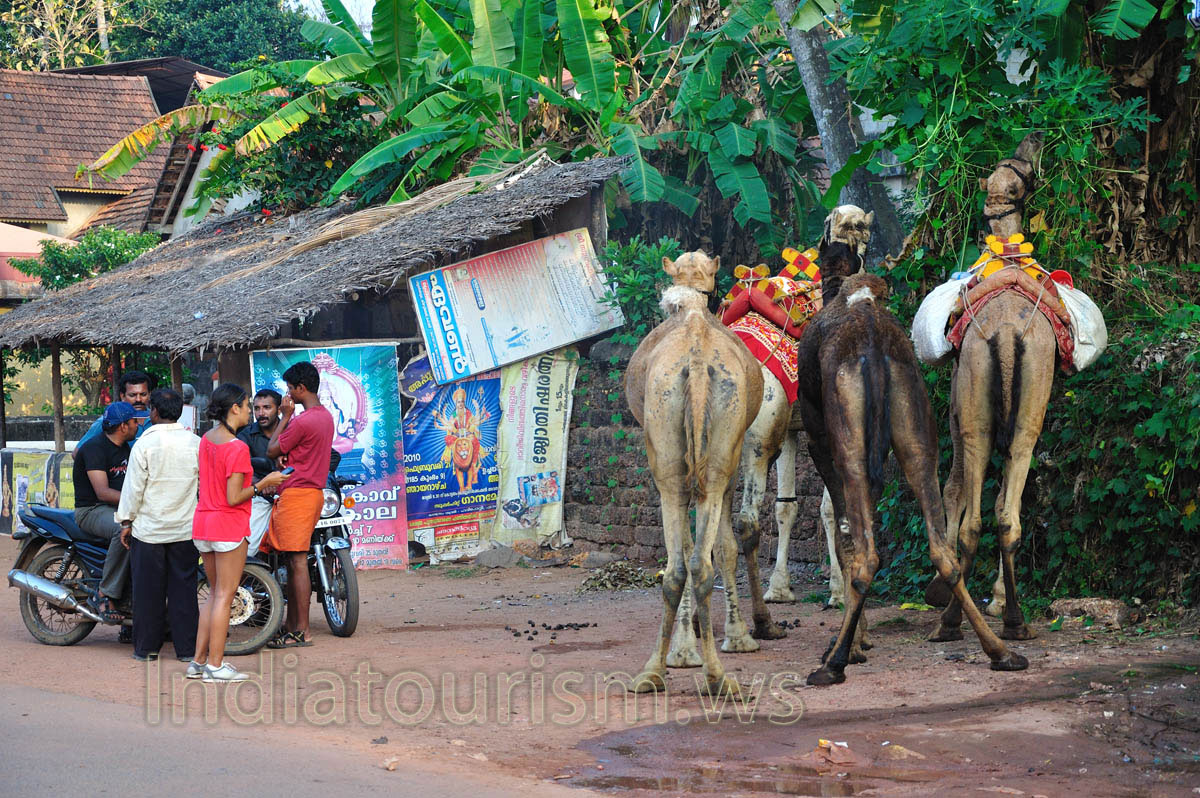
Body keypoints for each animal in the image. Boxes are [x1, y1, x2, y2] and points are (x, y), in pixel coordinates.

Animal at [625, 251, 764, 695]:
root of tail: (699, 360)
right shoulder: (727, 461)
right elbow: (722, 545)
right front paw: (729, 638)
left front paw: (689, 649)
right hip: (718, 446)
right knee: (697, 564)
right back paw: (715, 677)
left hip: (669, 459)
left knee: (679, 564)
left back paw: (655, 670)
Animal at [796, 270, 1028, 685]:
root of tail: (873, 348)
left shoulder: (819, 442)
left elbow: (844, 537)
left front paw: (854, 645)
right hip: (917, 436)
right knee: (943, 548)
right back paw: (1000, 650)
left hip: (849, 445)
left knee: (867, 555)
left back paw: (832, 664)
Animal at [928, 132, 1056, 641]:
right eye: (1018, 167)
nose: (1036, 138)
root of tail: (1003, 333)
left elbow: (962, 492)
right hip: (1010, 411)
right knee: (990, 512)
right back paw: (993, 621)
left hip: (993, 415)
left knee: (992, 517)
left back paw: (980, 619)